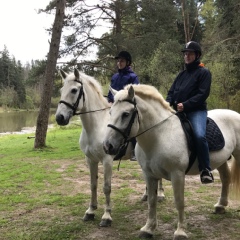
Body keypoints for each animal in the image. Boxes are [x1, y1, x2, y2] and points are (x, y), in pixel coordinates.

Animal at [55, 69, 164, 227]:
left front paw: (106, 216)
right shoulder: (90, 160)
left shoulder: (107, 161)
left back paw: (160, 194)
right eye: (61, 90)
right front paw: (90, 211)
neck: (96, 126)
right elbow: (93, 185)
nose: (59, 118)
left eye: (74, 90)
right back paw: (146, 195)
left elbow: (106, 187)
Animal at [103, 84, 240, 238]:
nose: (107, 146)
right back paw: (220, 205)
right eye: (110, 112)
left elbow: (179, 201)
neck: (159, 135)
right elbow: (151, 201)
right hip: (221, 160)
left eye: (125, 114)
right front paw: (148, 228)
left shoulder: (177, 174)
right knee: (226, 178)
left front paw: (180, 232)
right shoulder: (149, 175)